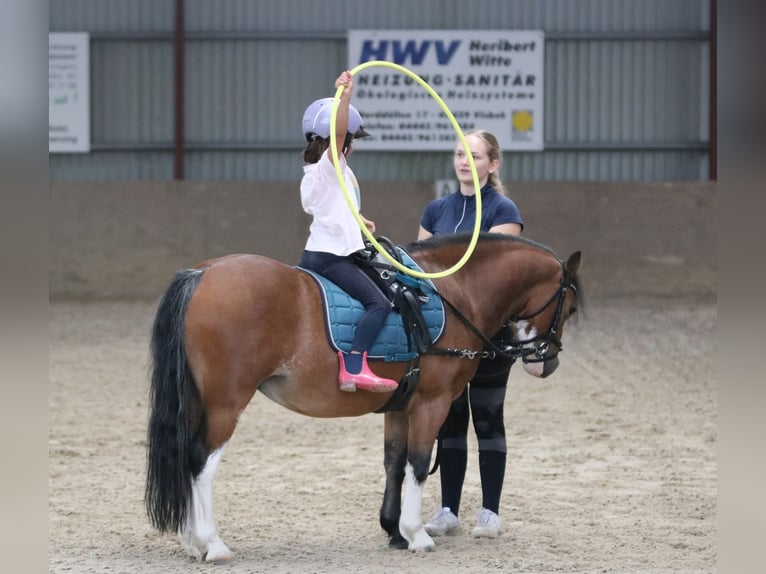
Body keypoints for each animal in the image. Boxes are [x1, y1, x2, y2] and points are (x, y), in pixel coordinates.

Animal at [145, 232, 582, 562]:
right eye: (570, 307)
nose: (547, 363)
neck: (453, 292)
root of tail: (202, 274)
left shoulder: (400, 406)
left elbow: (394, 463)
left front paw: (394, 531)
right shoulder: (433, 402)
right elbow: (419, 464)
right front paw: (417, 535)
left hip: (198, 401)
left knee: (185, 458)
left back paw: (191, 542)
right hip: (226, 404)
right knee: (200, 463)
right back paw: (212, 544)